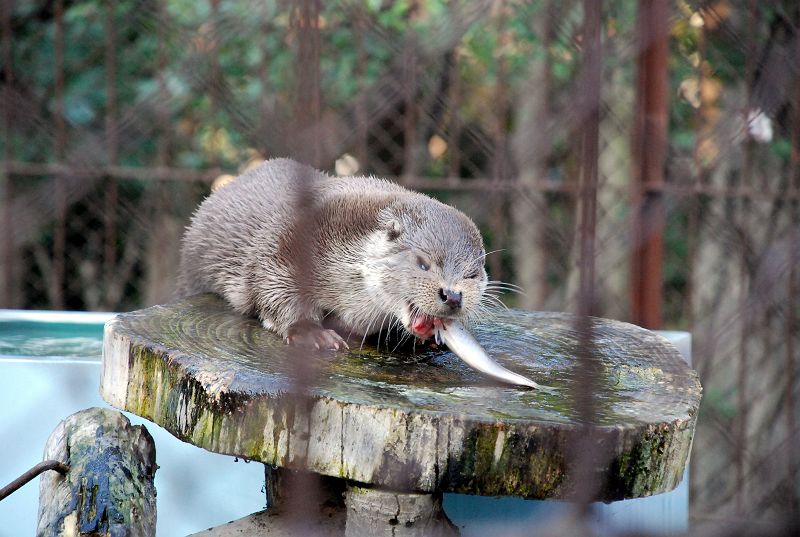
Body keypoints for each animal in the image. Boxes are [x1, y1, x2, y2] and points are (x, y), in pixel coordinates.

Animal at [177, 157, 488, 350]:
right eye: (423, 263)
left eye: (472, 274)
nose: (453, 295)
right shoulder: (287, 242)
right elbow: (273, 287)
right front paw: (311, 333)